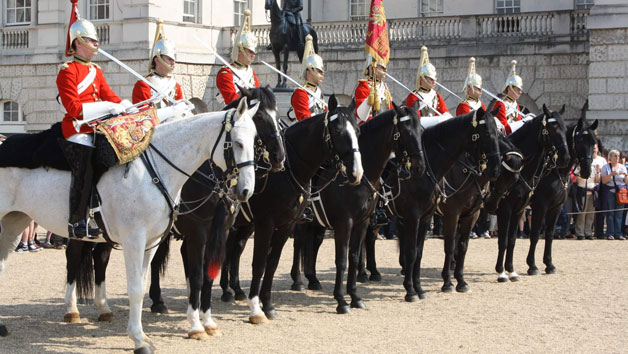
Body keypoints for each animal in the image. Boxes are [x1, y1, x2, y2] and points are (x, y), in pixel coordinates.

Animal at [0, 98, 258, 352]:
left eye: (255, 140)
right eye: (237, 142)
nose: (246, 191)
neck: (155, 170)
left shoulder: (153, 241)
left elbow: (144, 287)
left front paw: (144, 334)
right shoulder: (139, 239)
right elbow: (138, 288)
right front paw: (141, 339)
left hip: (15, 222)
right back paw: (72, 310)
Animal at [62, 86, 286, 332]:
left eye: (277, 116)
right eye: (260, 118)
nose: (280, 158)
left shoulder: (221, 230)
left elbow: (207, 274)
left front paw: (205, 318)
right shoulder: (198, 231)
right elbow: (198, 274)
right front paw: (198, 320)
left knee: (101, 257)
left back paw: (107, 307)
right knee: (74, 256)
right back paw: (73, 309)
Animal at [288, 103, 424, 314]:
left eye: (421, 131)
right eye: (406, 132)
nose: (419, 167)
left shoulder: (363, 222)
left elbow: (353, 256)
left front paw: (355, 296)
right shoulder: (345, 222)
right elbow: (342, 259)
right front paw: (341, 301)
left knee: (314, 242)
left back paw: (313, 279)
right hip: (302, 220)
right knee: (299, 243)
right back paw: (298, 281)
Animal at [486, 104, 576, 282]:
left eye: (565, 129)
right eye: (552, 128)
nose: (565, 157)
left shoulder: (522, 209)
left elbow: (513, 240)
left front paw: (511, 270)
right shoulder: (508, 209)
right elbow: (506, 240)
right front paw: (502, 272)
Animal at [524, 115, 600, 276]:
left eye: (594, 142)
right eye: (580, 141)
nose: (586, 171)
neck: (554, 171)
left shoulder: (556, 207)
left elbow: (550, 234)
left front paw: (549, 264)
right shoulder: (540, 206)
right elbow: (535, 234)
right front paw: (532, 266)